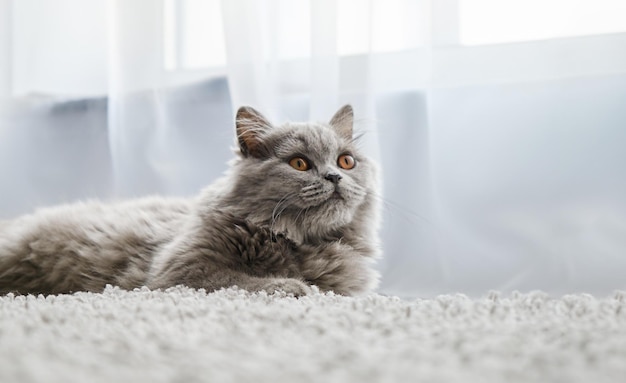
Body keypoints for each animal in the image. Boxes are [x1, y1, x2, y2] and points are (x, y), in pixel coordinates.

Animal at [0, 105, 380, 296]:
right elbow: (240, 279)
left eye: (346, 161)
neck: (300, 240)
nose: (334, 177)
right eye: (299, 163)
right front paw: (292, 285)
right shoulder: (180, 269)